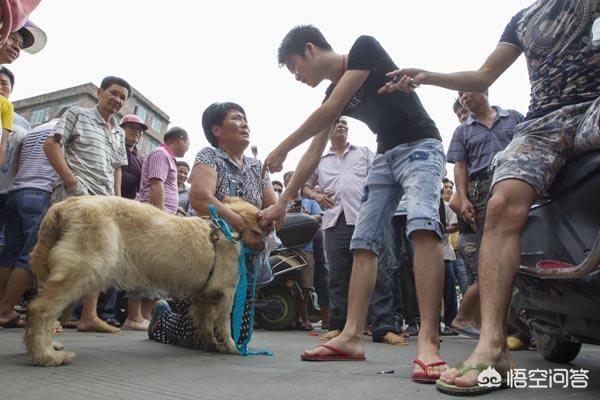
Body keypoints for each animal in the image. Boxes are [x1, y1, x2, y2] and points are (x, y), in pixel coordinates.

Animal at [24, 195, 262, 368]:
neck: (228, 227)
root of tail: (64, 205)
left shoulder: (203, 296)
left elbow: (206, 324)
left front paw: (212, 345)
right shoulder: (226, 292)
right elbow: (224, 324)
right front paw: (233, 347)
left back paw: (50, 347)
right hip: (85, 269)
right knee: (39, 308)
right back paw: (46, 356)